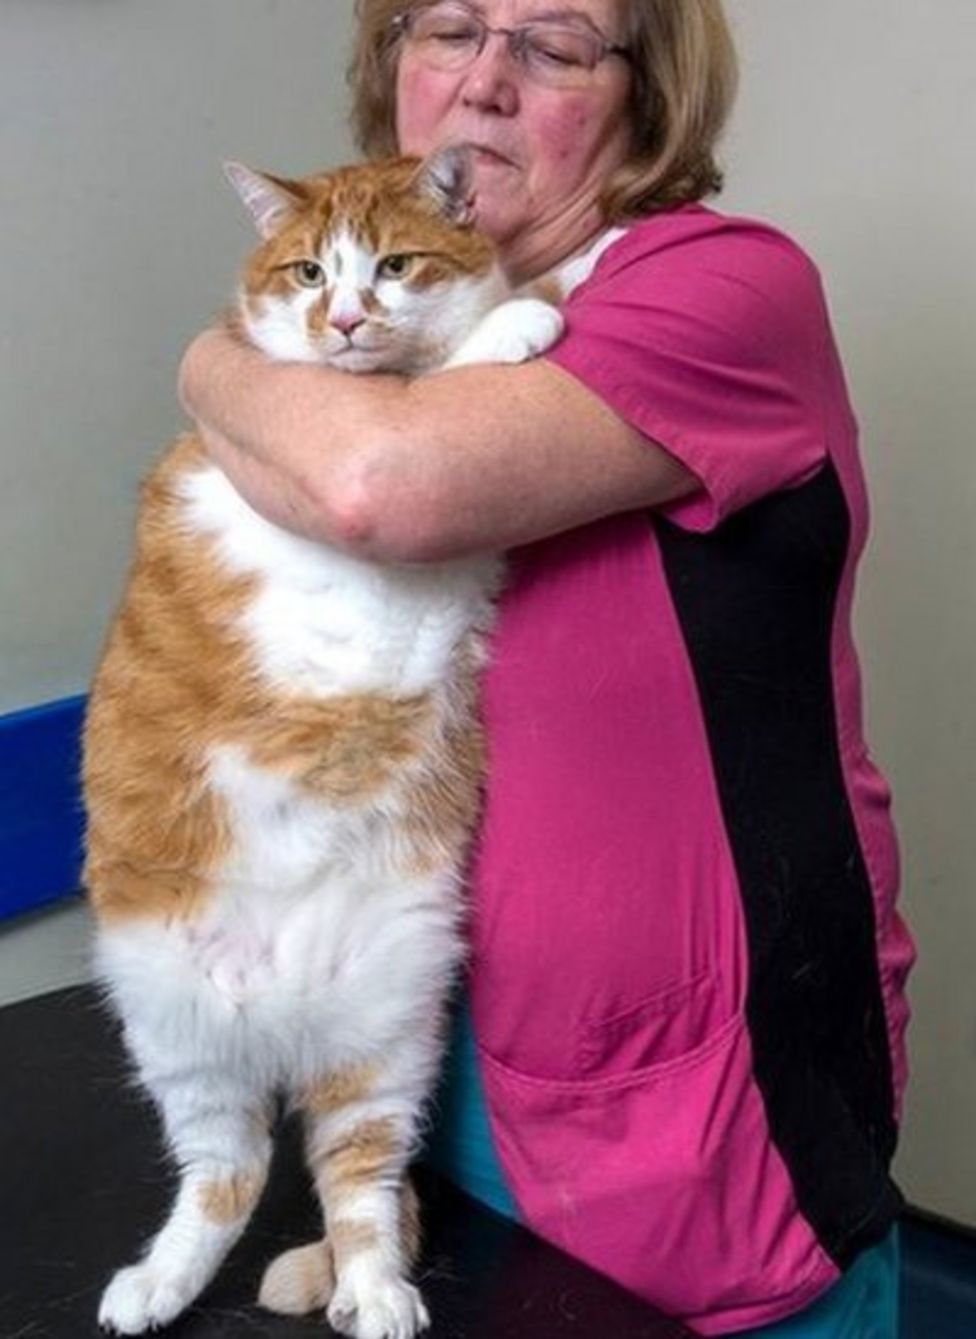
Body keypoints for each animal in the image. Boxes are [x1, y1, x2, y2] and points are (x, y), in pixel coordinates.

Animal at [82, 149, 615, 1339]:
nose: (344, 320)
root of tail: (287, 1027)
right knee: (221, 1177)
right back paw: (156, 1284)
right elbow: (462, 362)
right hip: (177, 1036)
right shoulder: (371, 441)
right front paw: (536, 304)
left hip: (389, 1037)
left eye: (394, 266)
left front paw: (591, 254)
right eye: (309, 272)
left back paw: (373, 1293)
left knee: (357, 1183)